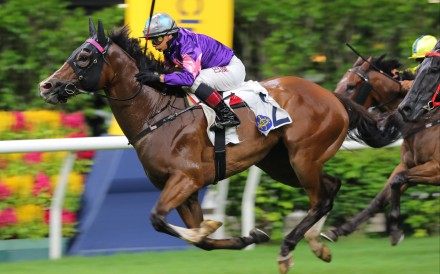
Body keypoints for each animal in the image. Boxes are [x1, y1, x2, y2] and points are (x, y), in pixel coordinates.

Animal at [39, 19, 400, 274]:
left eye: (84, 56)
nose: (47, 85)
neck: (157, 113)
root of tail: (333, 97)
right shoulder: (183, 191)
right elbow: (203, 241)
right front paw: (246, 237)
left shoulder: (186, 179)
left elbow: (159, 219)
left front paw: (213, 227)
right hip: (280, 164)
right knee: (331, 187)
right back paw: (317, 244)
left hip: (304, 157)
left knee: (319, 199)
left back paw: (288, 249)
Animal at [324, 51, 440, 244]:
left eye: (350, 86)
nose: (334, 108)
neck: (425, 122)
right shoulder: (408, 166)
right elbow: (382, 196)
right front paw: (338, 230)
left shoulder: (436, 169)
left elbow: (397, 180)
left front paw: (395, 229)